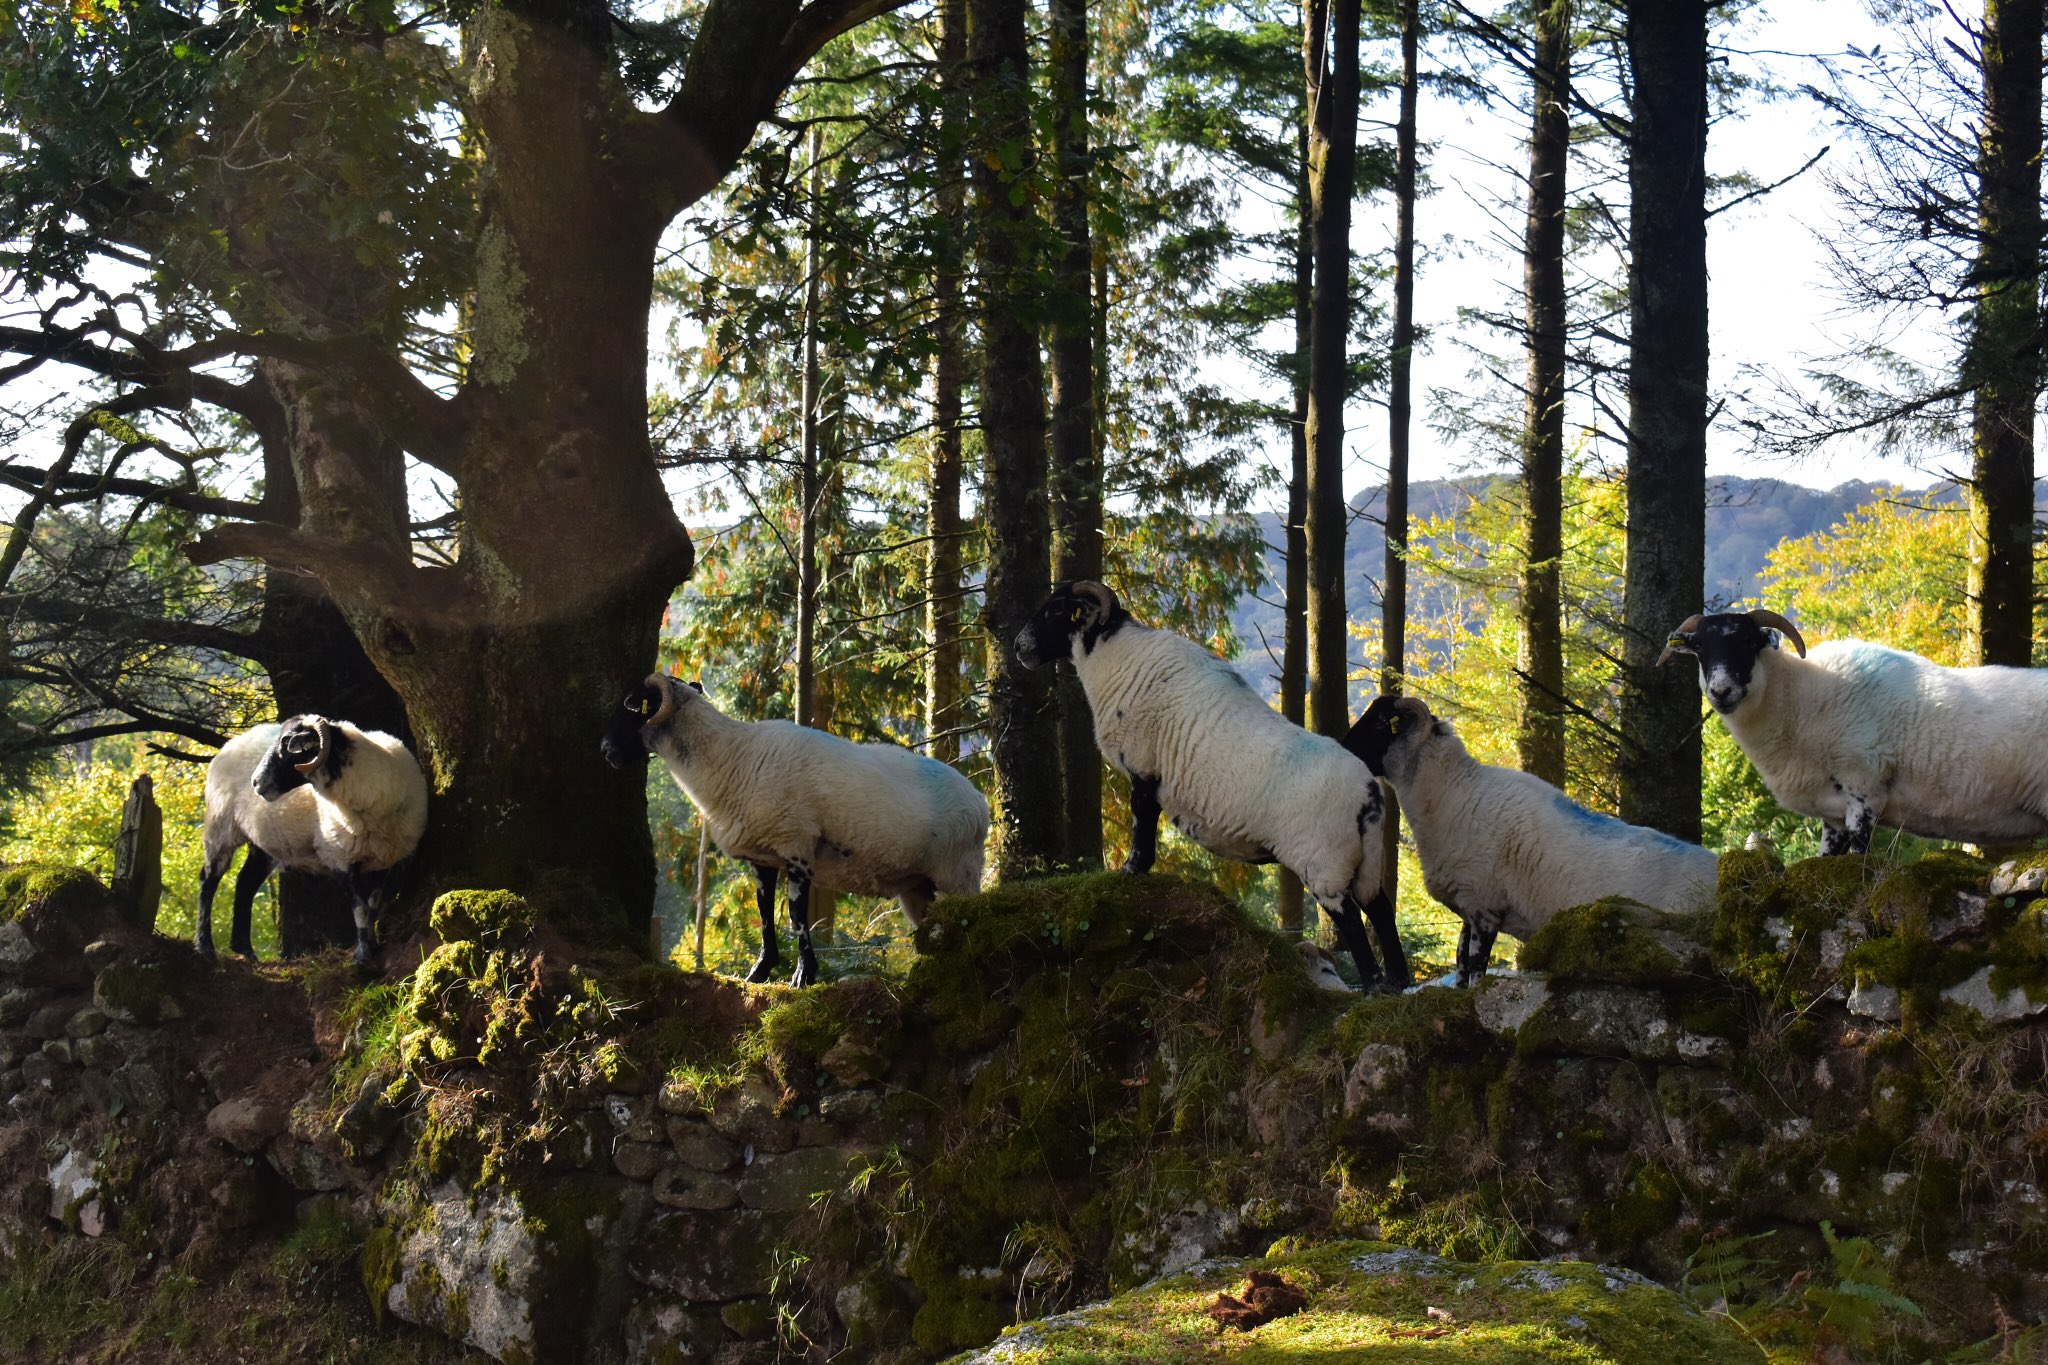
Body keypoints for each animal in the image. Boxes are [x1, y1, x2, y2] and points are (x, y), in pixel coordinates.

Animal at [199, 716, 429, 967]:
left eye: (287, 743)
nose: (255, 781)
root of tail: (230, 745)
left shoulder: (384, 860)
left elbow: (372, 905)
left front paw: (372, 944)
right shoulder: (339, 857)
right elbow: (359, 908)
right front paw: (362, 955)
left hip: (262, 842)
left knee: (245, 883)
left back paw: (245, 949)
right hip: (221, 826)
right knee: (208, 879)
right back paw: (205, 946)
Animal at [601, 673, 989, 988]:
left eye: (635, 707)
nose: (605, 749)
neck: (732, 757)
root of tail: (980, 801)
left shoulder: (797, 846)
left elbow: (796, 918)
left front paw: (803, 977)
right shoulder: (762, 857)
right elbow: (764, 917)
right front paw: (759, 973)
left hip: (958, 874)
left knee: (969, 921)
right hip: (917, 887)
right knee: (933, 927)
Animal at [1013, 579, 1409, 991]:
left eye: (1056, 610)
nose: (1018, 647)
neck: (1115, 657)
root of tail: (1369, 794)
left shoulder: (1144, 768)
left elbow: (1142, 825)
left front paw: (1130, 872)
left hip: (1324, 862)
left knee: (1352, 922)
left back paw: (1374, 988)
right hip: (1363, 861)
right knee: (1382, 911)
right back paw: (1398, 983)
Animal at [1343, 694, 1720, 987]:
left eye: (1380, 723)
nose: (1341, 747)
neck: (1455, 792)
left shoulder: (1485, 906)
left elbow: (1476, 971)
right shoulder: (1468, 903)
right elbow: (1460, 965)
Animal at [1658, 607, 2048, 854]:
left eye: (1748, 643)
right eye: (1699, 647)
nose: (1721, 691)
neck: (1802, 699)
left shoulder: (1866, 789)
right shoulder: (1833, 814)